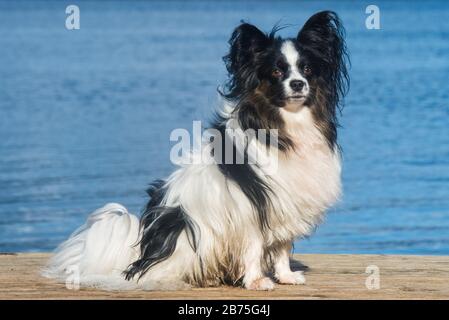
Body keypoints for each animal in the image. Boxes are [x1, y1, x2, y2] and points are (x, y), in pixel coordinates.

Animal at [43, 10, 348, 290]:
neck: (283, 126)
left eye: (307, 70)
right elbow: (254, 246)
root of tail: (140, 258)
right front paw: (256, 281)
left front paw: (285, 276)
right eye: (276, 72)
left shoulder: (287, 201)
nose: (297, 84)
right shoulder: (251, 207)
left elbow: (283, 246)